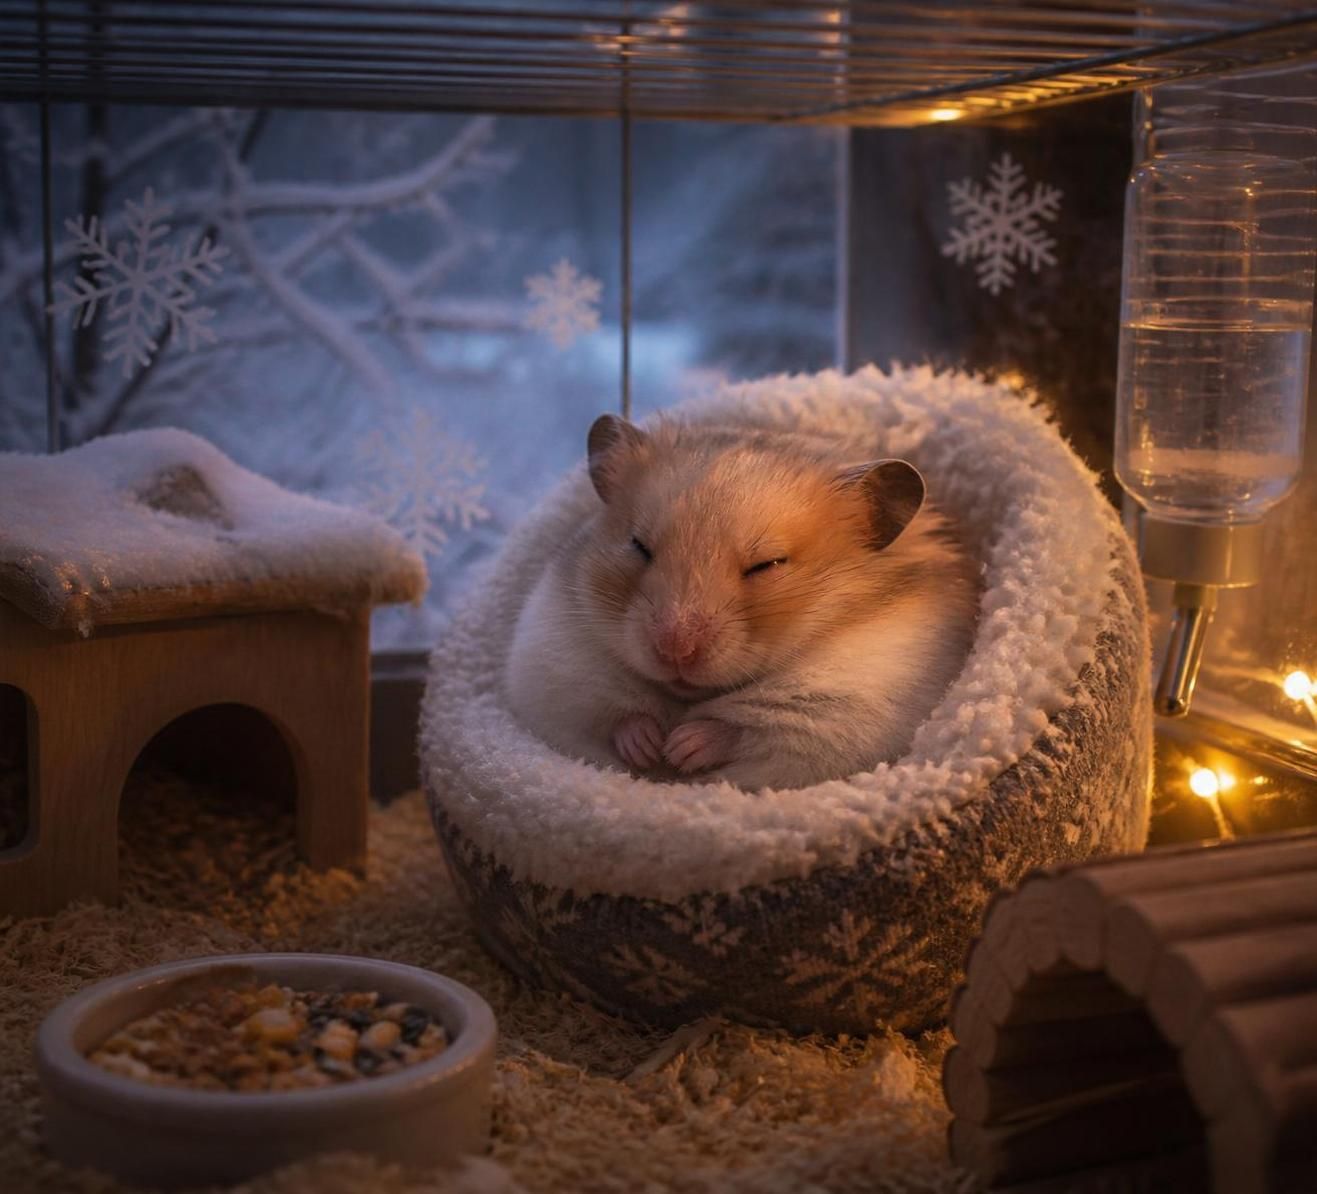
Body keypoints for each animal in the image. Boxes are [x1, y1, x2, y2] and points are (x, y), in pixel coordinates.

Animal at [503, 414, 980, 791]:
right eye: (638, 546)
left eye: (767, 564)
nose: (674, 649)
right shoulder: (557, 674)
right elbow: (615, 716)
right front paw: (649, 747)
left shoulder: (840, 712)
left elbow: (744, 730)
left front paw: (679, 748)